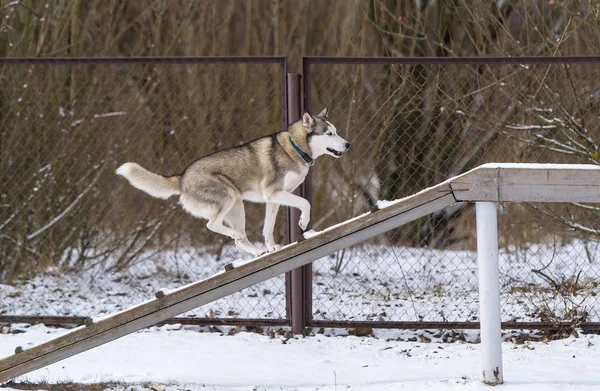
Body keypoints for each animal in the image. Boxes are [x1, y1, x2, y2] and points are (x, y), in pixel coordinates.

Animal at [117, 108, 350, 258]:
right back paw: (238, 235)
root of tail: (181, 177)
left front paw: (272, 248)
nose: (348, 144)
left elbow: (268, 228)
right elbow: (305, 203)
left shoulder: (274, 199)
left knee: (239, 239)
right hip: (227, 197)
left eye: (336, 131)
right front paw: (303, 222)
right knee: (213, 225)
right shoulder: (274, 193)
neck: (296, 147)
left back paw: (257, 251)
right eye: (329, 133)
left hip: (237, 206)